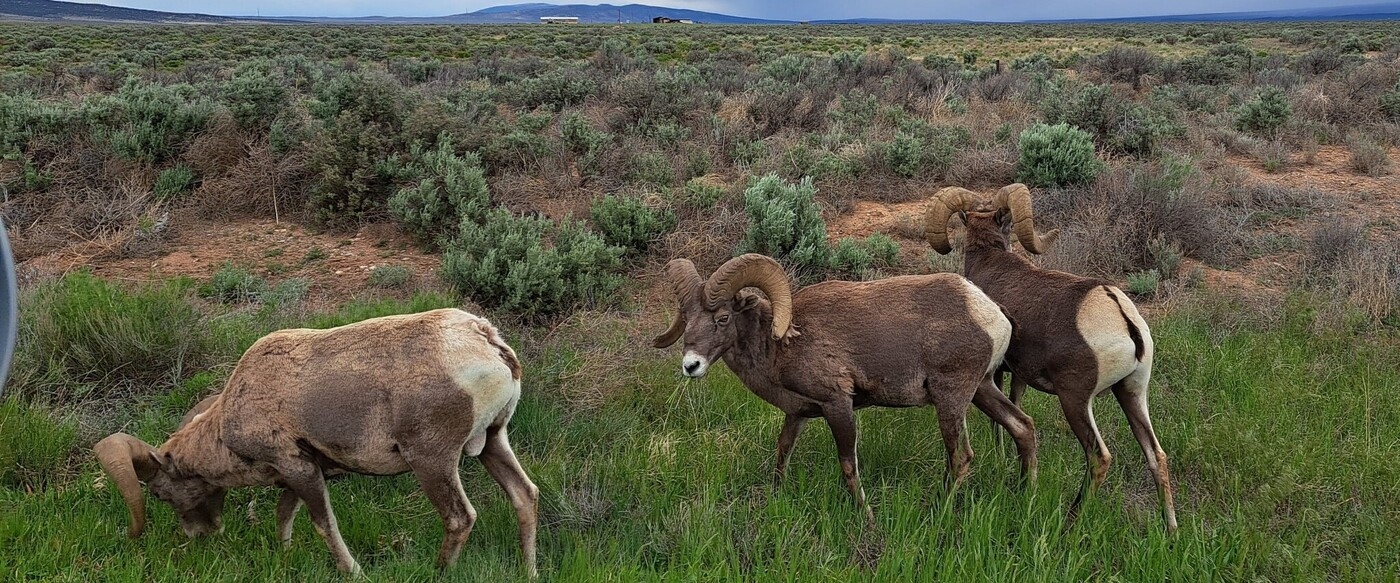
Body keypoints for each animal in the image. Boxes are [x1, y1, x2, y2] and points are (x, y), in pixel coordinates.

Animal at [93, 309, 537, 577]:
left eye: (161, 494)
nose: (199, 535)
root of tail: (486, 340)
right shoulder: (298, 472)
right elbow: (284, 517)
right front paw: (285, 557)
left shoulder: (299, 469)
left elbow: (323, 524)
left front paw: (353, 572)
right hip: (493, 443)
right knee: (524, 495)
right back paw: (528, 570)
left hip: (433, 461)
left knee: (460, 518)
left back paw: (437, 572)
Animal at [655, 252, 1041, 518]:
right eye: (687, 318)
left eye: (722, 318)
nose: (691, 365)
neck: (779, 344)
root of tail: (991, 313)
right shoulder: (798, 413)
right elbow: (782, 454)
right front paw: (775, 499)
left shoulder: (837, 405)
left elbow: (848, 467)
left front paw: (865, 516)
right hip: (983, 390)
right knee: (1023, 428)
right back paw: (1025, 493)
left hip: (952, 399)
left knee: (961, 457)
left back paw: (939, 510)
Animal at [929, 183, 1181, 532]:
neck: (990, 263)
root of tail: (1120, 313)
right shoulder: (1020, 376)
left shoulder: (997, 373)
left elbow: (999, 425)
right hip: (1132, 394)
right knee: (1156, 456)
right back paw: (1170, 530)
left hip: (1075, 400)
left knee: (1099, 457)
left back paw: (1071, 522)